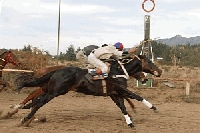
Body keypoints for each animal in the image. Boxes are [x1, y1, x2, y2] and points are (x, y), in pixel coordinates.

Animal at [15, 54, 162, 128]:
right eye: (149, 62)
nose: (159, 71)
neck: (117, 71)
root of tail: (56, 71)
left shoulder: (115, 94)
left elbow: (123, 106)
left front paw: (130, 122)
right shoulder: (120, 89)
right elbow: (136, 96)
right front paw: (153, 108)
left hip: (51, 90)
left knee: (35, 100)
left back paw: (23, 113)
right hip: (54, 92)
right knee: (38, 103)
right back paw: (24, 119)